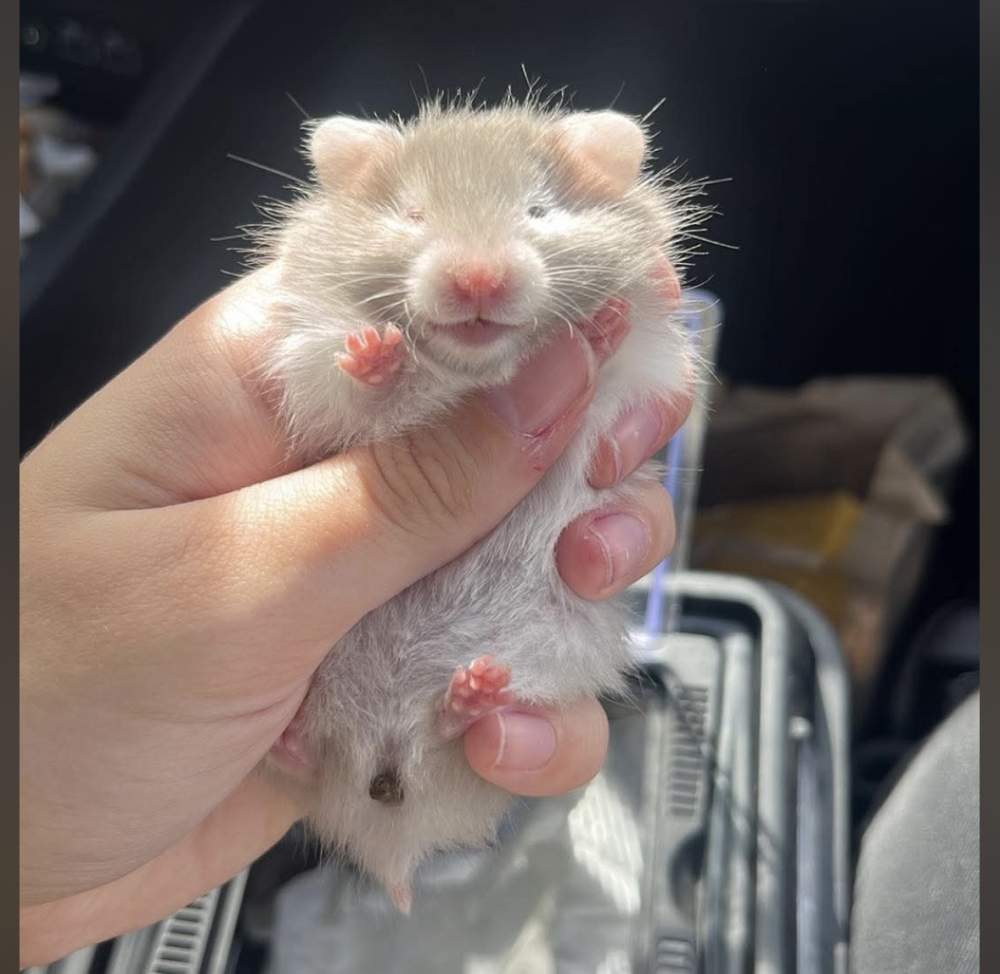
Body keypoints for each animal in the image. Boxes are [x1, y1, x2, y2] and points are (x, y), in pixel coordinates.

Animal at [253, 92, 702, 912]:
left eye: (538, 210)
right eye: (413, 214)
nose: (478, 280)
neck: (476, 369)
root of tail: (392, 835)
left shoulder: (648, 377)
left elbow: (620, 365)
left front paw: (601, 324)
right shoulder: (307, 369)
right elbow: (356, 389)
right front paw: (377, 351)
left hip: (548, 664)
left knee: (458, 734)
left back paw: (475, 694)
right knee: (308, 761)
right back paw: (294, 735)